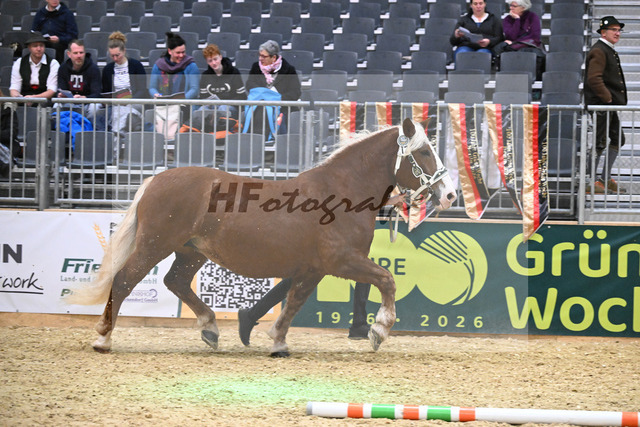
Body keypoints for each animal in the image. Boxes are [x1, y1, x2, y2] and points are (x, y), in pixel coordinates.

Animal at [66, 118, 457, 357]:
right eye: (424, 152)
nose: (450, 195)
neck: (341, 194)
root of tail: (156, 179)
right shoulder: (341, 260)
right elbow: (387, 280)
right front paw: (379, 330)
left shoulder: (313, 268)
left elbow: (294, 302)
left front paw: (277, 341)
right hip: (155, 244)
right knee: (124, 280)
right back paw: (103, 338)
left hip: (191, 251)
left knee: (174, 281)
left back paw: (210, 329)